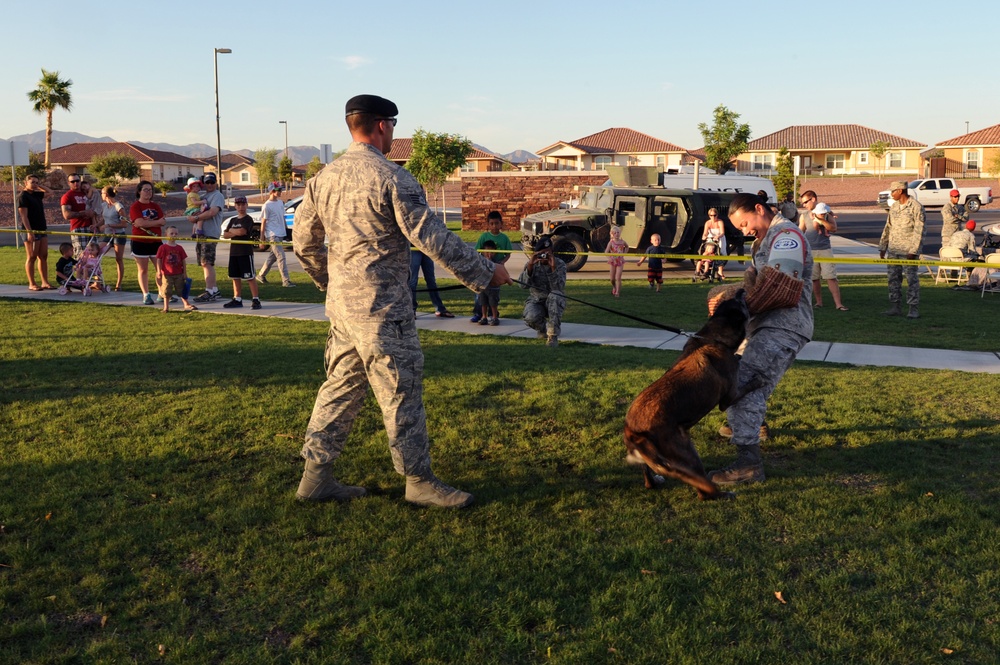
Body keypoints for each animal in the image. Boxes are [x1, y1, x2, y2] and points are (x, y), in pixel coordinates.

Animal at [624, 288, 756, 500]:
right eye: (739, 301)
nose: (740, 290)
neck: (712, 339)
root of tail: (632, 430)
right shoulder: (728, 398)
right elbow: (748, 386)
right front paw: (759, 380)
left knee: (648, 478)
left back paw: (654, 482)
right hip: (687, 453)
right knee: (703, 490)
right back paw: (721, 494)